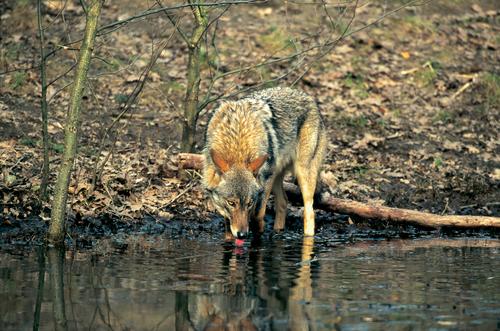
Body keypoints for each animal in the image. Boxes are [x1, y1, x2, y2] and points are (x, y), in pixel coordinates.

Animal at [203, 87, 328, 240]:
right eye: (231, 203)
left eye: (250, 203)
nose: (242, 235)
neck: (237, 141)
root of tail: (309, 98)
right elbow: (228, 224)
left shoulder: (264, 185)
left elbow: (257, 216)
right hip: (277, 175)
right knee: (283, 202)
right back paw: (278, 231)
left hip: (301, 174)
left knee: (309, 212)